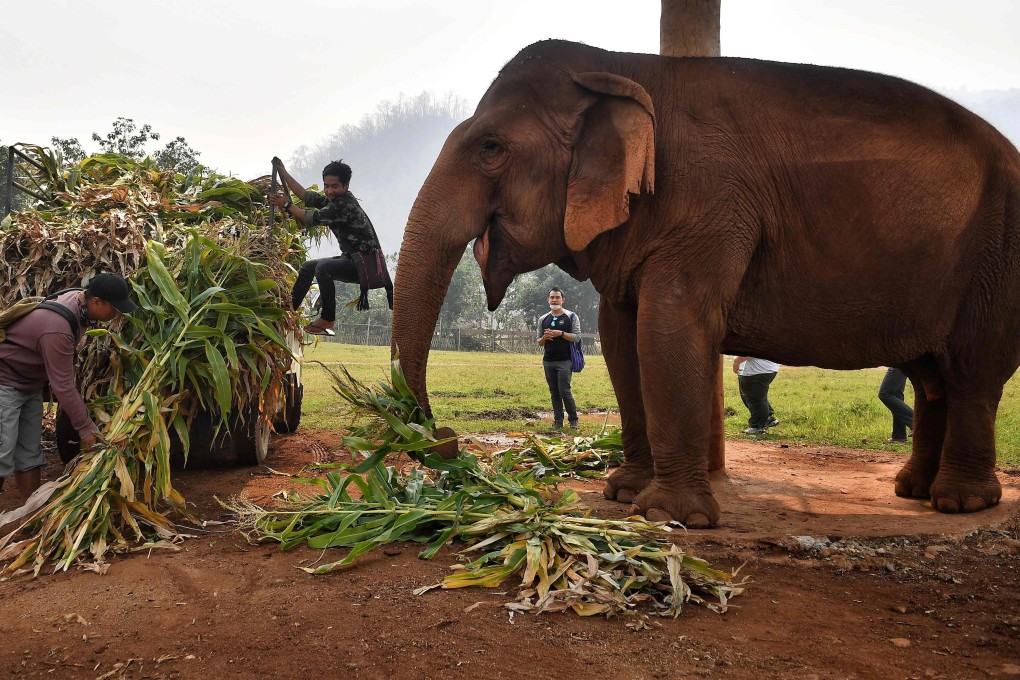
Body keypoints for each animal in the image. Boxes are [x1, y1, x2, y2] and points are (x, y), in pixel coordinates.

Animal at [391, 39, 1020, 527]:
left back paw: (960, 502)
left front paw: (671, 516)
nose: (445, 439)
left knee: (971, 371)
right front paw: (622, 492)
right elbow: (620, 336)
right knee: (932, 376)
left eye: (490, 148)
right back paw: (913, 491)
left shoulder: (710, 206)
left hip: (996, 262)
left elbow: (669, 328)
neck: (617, 66)